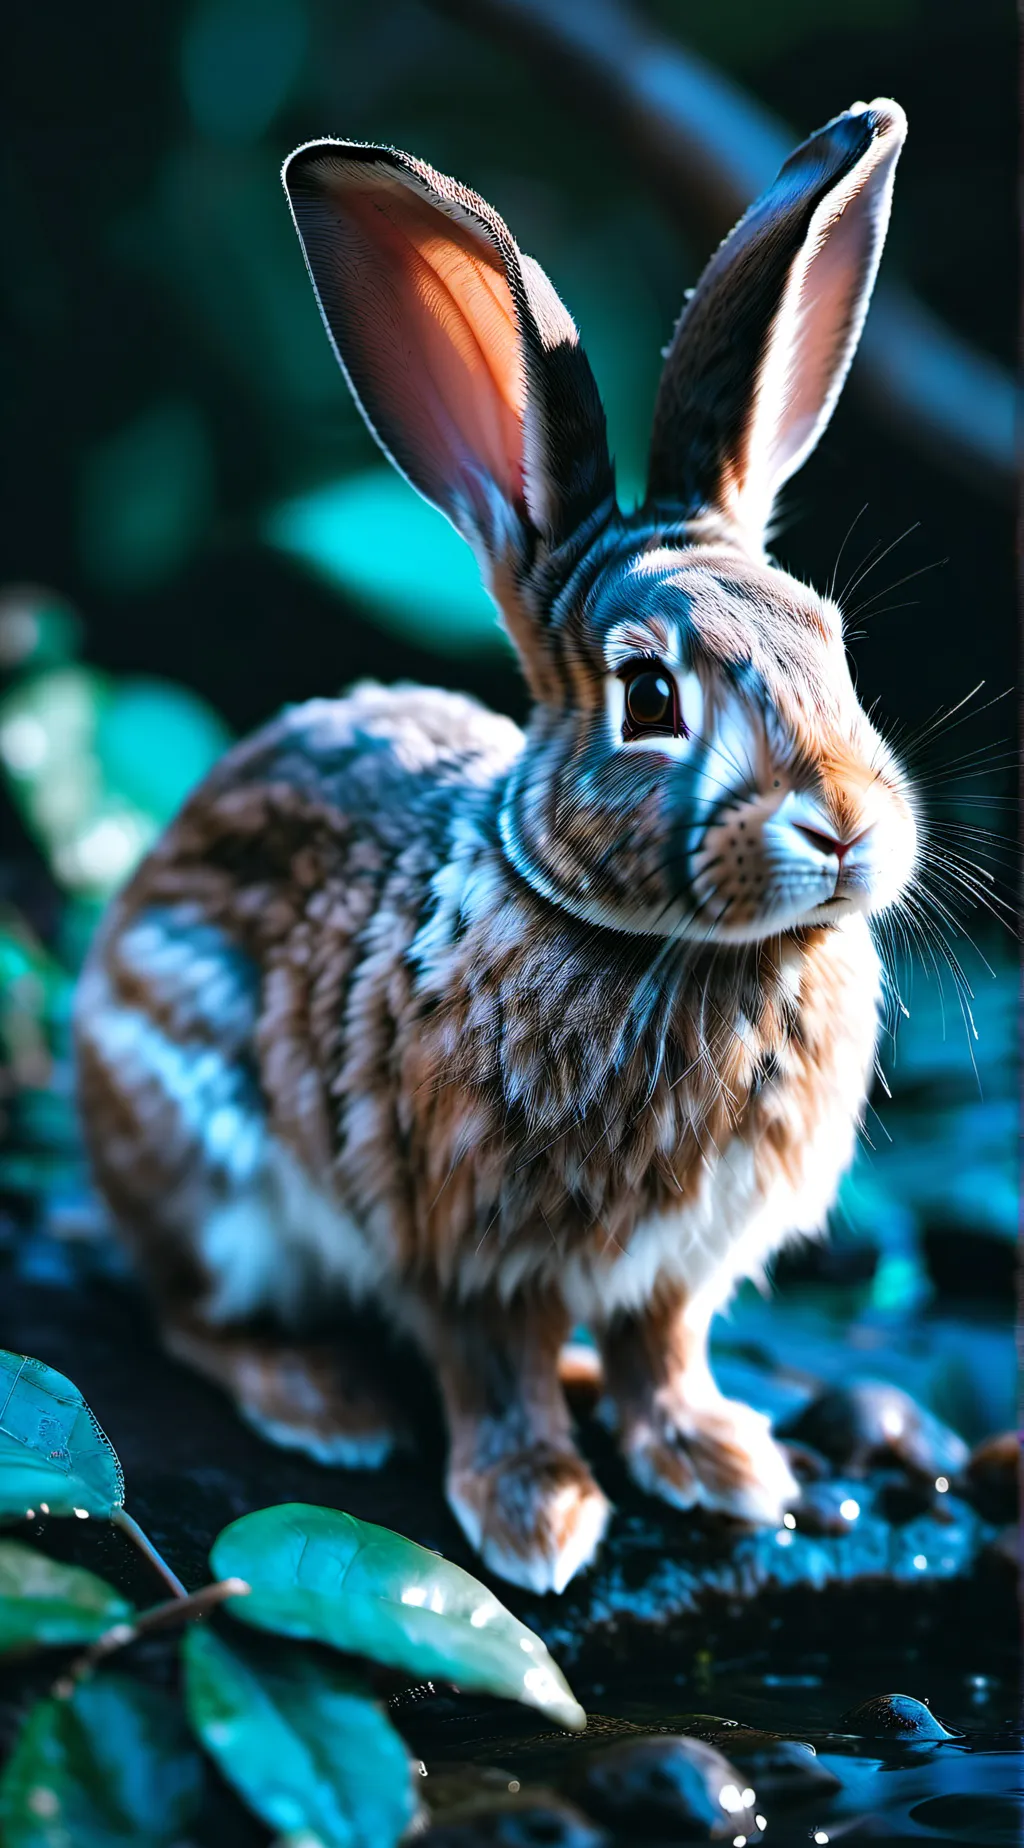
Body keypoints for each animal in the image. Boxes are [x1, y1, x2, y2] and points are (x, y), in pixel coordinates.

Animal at [74, 99, 918, 1594]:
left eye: (831, 641)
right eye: (650, 696)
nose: (846, 825)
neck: (670, 946)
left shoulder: (679, 1269)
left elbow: (660, 1350)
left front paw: (722, 1467)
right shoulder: (462, 1245)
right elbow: (493, 1368)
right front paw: (537, 1518)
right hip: (199, 1162)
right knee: (190, 1314)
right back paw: (322, 1401)